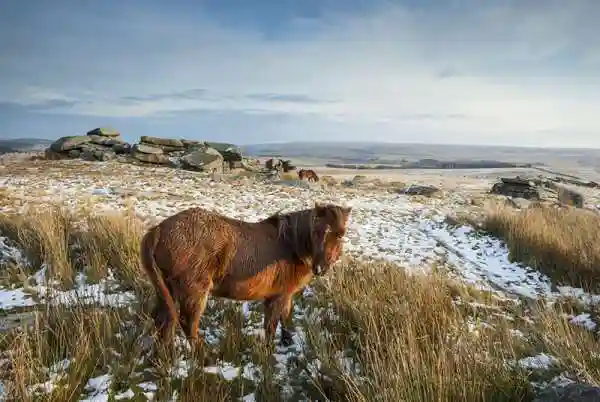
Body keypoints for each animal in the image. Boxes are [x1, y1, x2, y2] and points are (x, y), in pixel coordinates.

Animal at [140, 203, 352, 348]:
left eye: (340, 234)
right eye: (316, 231)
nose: (320, 268)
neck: (291, 244)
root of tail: (157, 230)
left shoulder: (285, 295)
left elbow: (286, 317)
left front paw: (287, 341)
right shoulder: (278, 296)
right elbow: (271, 325)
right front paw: (268, 352)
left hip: (166, 289)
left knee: (163, 320)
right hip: (194, 291)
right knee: (187, 323)